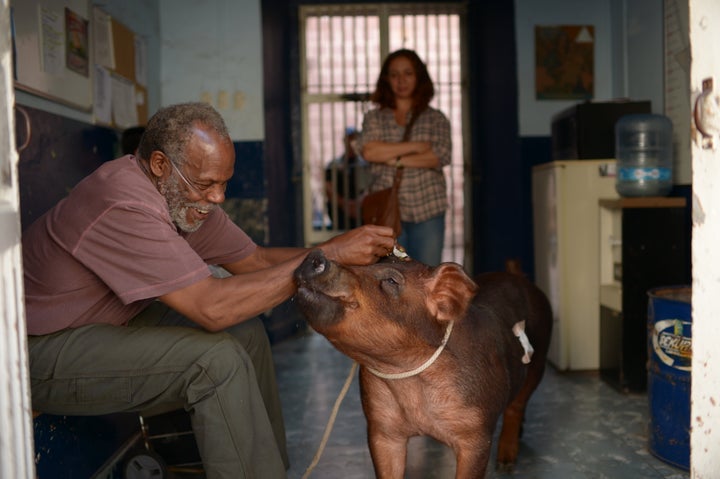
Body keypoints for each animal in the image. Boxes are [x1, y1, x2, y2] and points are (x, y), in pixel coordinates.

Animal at [292, 249, 552, 478]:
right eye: (368, 263)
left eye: (391, 280)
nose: (316, 255)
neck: (410, 383)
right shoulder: (381, 426)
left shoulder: (476, 433)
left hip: (539, 361)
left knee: (516, 405)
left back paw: (506, 464)